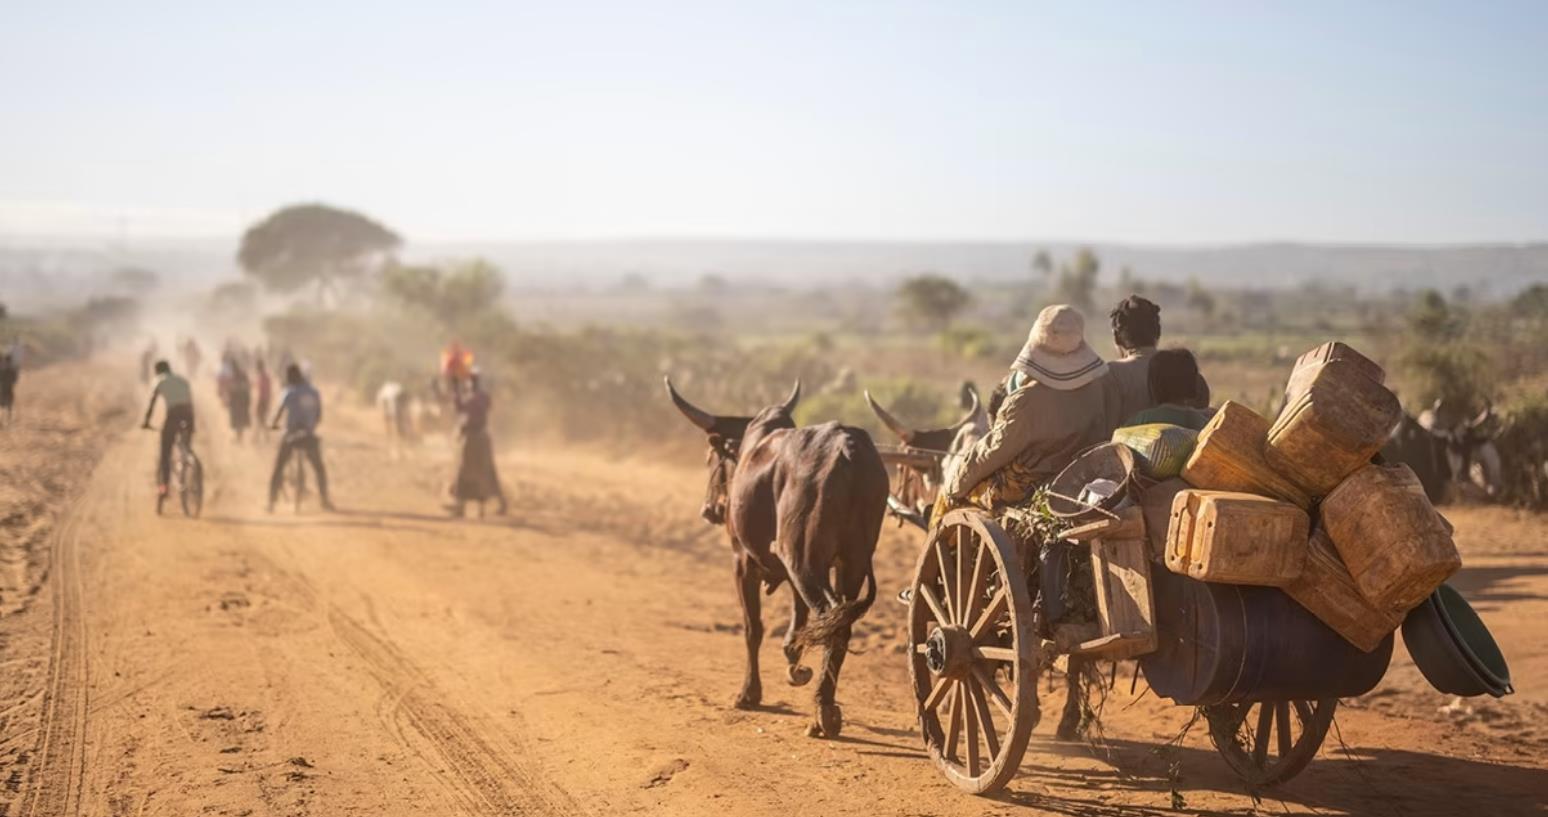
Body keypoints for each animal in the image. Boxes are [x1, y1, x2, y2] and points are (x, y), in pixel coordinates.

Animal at [662, 379, 885, 736]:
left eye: (711, 458)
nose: (708, 510)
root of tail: (847, 450)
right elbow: (798, 622)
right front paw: (793, 660)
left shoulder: (742, 562)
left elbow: (753, 627)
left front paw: (749, 693)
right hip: (849, 564)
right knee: (840, 624)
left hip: (804, 561)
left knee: (831, 620)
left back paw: (821, 713)